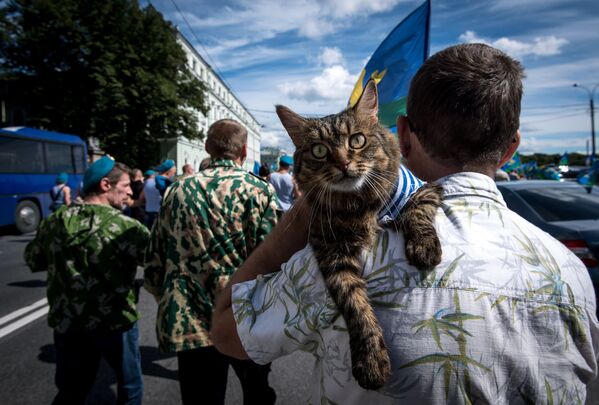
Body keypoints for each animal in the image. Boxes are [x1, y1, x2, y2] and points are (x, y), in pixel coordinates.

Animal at [278, 79, 442, 388]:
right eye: (319, 151)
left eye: (357, 140)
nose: (343, 163)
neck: (357, 203)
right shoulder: (330, 248)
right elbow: (354, 304)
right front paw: (371, 360)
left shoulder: (425, 187)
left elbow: (417, 212)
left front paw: (424, 247)